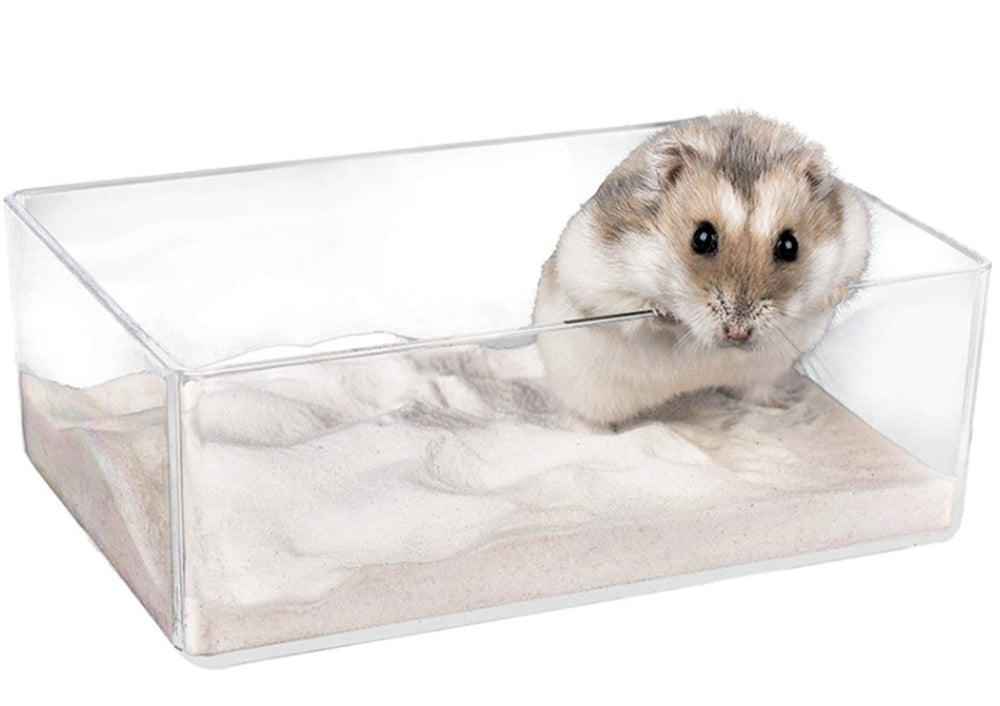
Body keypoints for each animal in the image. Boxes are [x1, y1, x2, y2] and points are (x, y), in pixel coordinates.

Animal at [532, 111, 871, 427]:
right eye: (702, 237)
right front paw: (662, 311)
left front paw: (834, 295)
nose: (738, 334)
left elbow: (843, 280)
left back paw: (779, 404)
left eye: (790, 246)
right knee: (580, 415)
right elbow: (629, 307)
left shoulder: (855, 237)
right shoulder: (591, 274)